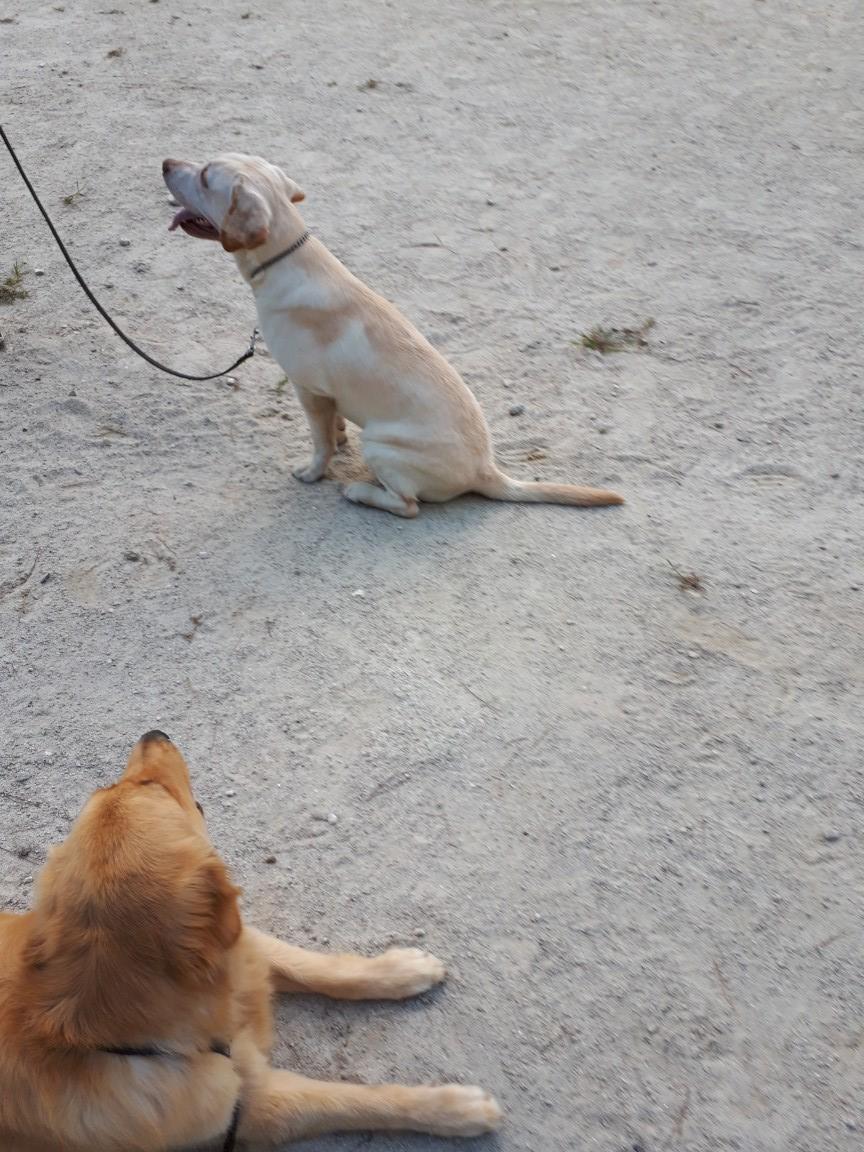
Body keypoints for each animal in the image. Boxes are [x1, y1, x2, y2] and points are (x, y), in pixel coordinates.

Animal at [0, 731, 501, 1150]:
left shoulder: (242, 948)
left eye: (109, 790)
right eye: (154, 788)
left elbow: (314, 965)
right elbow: (357, 1098)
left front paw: (402, 969)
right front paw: (455, 1108)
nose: (153, 734)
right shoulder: (251, 1107)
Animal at [163, 153, 623, 518]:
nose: (165, 163)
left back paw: (358, 491)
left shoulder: (308, 390)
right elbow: (334, 430)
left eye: (205, 175)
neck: (284, 258)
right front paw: (338, 440)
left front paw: (313, 472)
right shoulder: (329, 398)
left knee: (409, 506)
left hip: (380, 444)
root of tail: (487, 471)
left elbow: (319, 443)